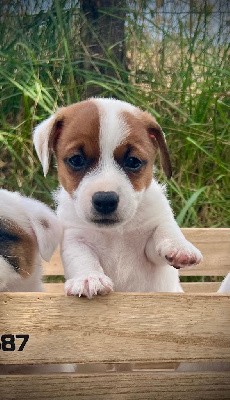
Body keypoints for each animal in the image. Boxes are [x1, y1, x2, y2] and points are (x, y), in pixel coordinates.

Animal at [31, 97, 203, 296]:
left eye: (133, 161)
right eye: (76, 160)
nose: (105, 200)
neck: (114, 232)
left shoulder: (150, 247)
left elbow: (165, 228)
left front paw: (180, 247)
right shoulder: (75, 239)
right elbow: (82, 258)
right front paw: (89, 278)